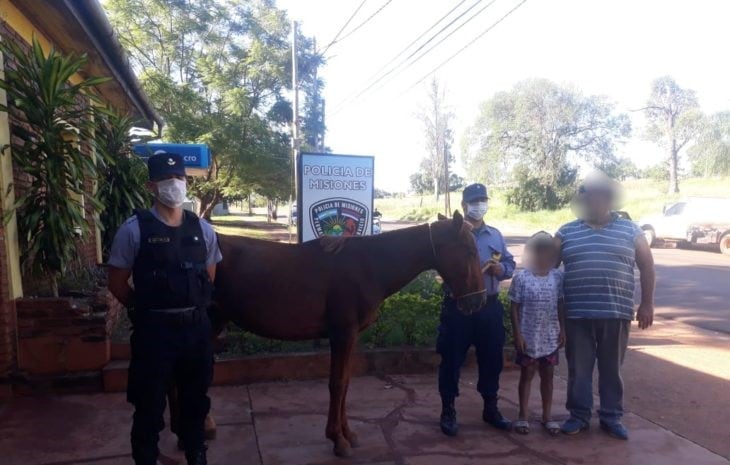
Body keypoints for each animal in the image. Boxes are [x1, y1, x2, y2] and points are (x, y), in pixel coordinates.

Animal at [177, 211, 486, 456]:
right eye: (470, 251)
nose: (479, 301)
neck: (368, 265)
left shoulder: (351, 337)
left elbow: (346, 382)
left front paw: (348, 433)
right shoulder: (342, 334)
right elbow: (337, 383)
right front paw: (338, 440)